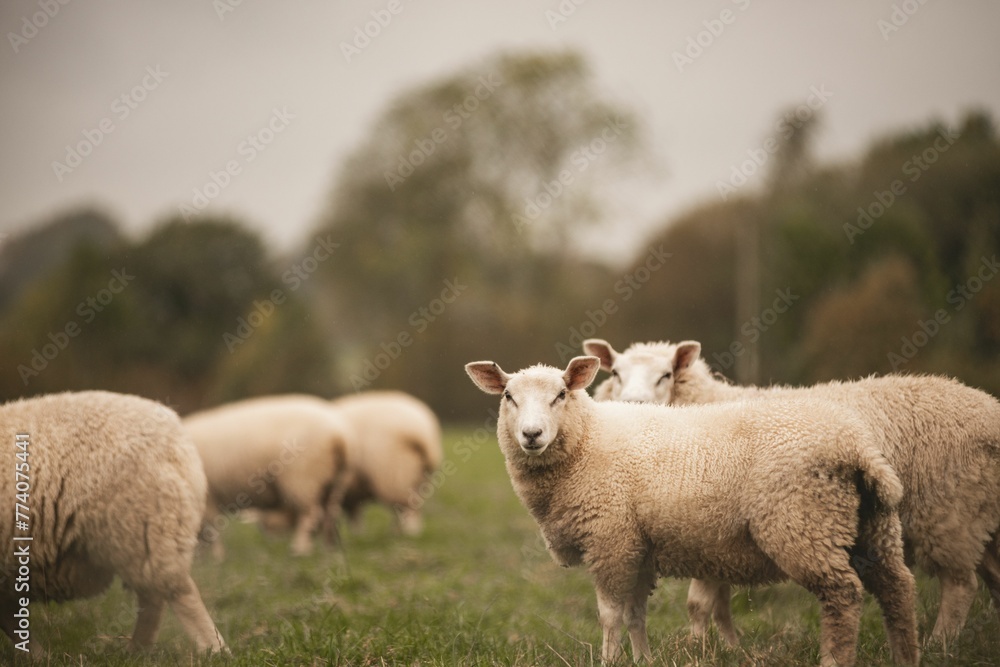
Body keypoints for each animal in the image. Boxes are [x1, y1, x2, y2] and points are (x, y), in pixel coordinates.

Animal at [0, 390, 225, 656]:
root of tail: (175, 435)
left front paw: (35, 655)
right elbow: (11, 620)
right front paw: (35, 656)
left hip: (141, 525)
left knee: (176, 593)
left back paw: (213, 650)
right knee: (153, 598)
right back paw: (138, 651)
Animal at [183, 394, 354, 558]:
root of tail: (338, 437)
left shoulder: (207, 498)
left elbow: (210, 530)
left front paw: (215, 557)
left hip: (302, 479)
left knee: (311, 515)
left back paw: (300, 549)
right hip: (333, 483)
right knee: (330, 515)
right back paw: (330, 550)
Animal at [330, 390, 442, 536]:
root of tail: (423, 434)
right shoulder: (352, 491)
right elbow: (354, 514)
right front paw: (358, 534)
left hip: (394, 475)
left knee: (408, 508)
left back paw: (407, 533)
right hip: (419, 478)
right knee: (412, 506)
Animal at [466, 356, 919, 666]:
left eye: (560, 395)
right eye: (508, 397)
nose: (531, 435)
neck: (586, 441)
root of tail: (856, 446)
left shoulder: (611, 541)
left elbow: (610, 615)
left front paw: (610, 661)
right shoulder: (638, 547)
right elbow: (635, 614)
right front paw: (643, 660)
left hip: (804, 523)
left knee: (843, 595)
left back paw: (835, 659)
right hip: (873, 525)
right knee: (898, 588)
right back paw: (906, 657)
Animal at [584, 337, 1000, 644]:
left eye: (666, 374)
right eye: (615, 373)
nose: (632, 402)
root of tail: (988, 408)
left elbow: (698, 604)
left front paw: (699, 650)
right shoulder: (718, 542)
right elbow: (718, 604)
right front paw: (730, 649)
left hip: (949, 513)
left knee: (960, 585)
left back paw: (940, 643)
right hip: (981, 516)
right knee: (993, 576)